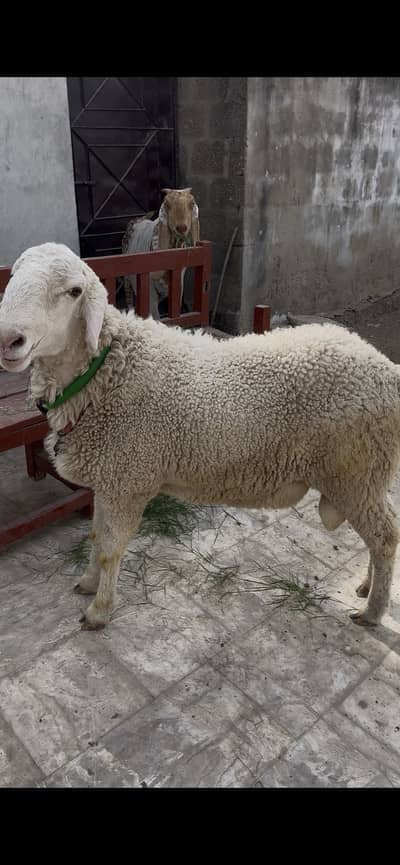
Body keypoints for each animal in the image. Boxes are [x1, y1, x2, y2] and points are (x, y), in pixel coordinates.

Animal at [1, 242, 400, 632]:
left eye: (74, 291)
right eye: (13, 276)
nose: (9, 339)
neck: (106, 373)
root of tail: (388, 370)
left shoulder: (128, 482)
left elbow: (111, 550)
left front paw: (99, 610)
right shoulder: (109, 480)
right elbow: (96, 538)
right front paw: (87, 582)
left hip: (356, 473)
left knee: (385, 538)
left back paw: (373, 610)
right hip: (367, 477)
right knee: (383, 533)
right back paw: (365, 587)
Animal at [121, 188, 200, 318]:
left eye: (192, 203)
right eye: (166, 204)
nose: (181, 228)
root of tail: (139, 219)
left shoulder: (178, 287)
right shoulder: (150, 292)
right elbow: (155, 316)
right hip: (127, 281)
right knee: (129, 300)